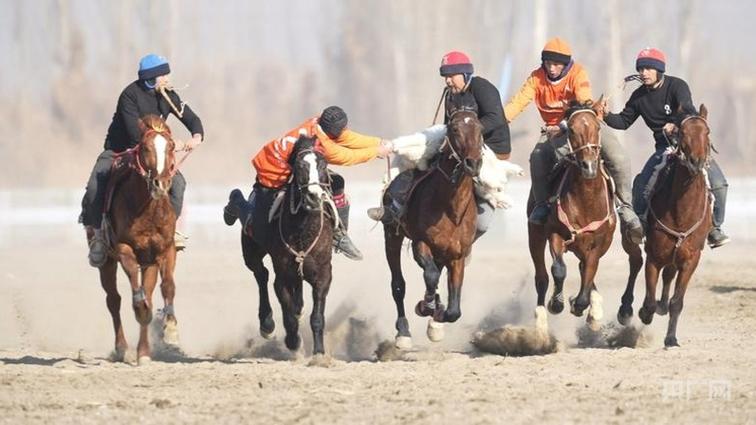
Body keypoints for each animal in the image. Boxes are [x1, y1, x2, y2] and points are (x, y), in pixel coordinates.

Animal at [92, 115, 180, 364]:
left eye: (171, 146)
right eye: (145, 147)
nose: (161, 184)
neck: (147, 209)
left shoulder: (162, 251)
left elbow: (167, 286)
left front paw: (169, 331)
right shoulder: (123, 248)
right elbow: (134, 282)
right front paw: (139, 304)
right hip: (106, 263)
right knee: (113, 300)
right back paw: (122, 348)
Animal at [241, 135, 337, 356]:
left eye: (323, 164)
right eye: (300, 165)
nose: (313, 197)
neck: (302, 231)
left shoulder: (323, 274)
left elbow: (317, 316)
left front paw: (319, 352)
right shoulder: (282, 274)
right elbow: (288, 314)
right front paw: (293, 342)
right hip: (251, 252)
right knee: (261, 274)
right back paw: (267, 325)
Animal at [382, 107, 483, 349]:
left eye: (480, 128)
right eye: (454, 129)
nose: (473, 163)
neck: (450, 209)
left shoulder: (457, 254)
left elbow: (454, 308)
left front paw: (438, 316)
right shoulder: (421, 242)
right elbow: (430, 275)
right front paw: (426, 305)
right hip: (392, 235)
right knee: (398, 284)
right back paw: (403, 331)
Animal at [528, 100, 617, 332]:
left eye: (598, 127)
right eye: (572, 129)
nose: (589, 166)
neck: (586, 201)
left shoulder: (598, 243)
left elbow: (590, 270)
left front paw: (580, 304)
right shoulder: (555, 233)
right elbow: (558, 269)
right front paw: (557, 302)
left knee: (584, 268)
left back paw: (594, 311)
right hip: (535, 235)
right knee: (541, 277)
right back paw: (541, 319)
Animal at [618, 105, 713, 347]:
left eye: (706, 132)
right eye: (682, 132)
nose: (696, 161)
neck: (682, 212)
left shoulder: (691, 259)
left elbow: (677, 302)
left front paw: (671, 338)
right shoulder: (655, 255)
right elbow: (649, 299)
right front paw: (644, 313)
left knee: (668, 275)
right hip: (629, 237)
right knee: (635, 263)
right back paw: (626, 310)